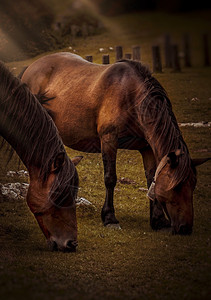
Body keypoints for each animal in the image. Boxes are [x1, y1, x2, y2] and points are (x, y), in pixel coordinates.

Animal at [21, 52, 209, 236]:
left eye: (193, 185)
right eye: (176, 187)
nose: (185, 228)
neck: (132, 97)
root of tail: (30, 68)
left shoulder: (146, 147)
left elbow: (151, 178)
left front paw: (158, 220)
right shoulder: (109, 140)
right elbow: (110, 178)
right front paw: (110, 218)